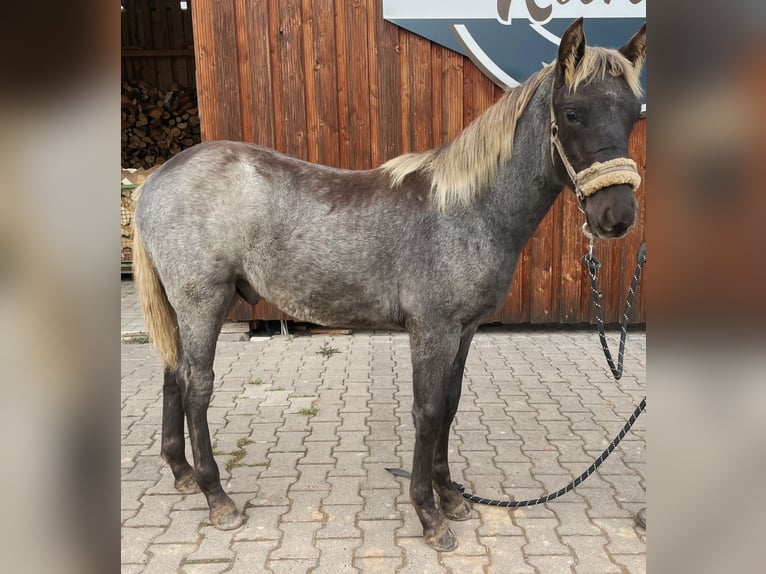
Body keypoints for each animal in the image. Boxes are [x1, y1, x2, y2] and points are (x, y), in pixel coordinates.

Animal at [132, 18, 646, 551]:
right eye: (572, 113)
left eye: (633, 115)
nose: (617, 216)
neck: (465, 210)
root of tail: (158, 177)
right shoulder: (431, 331)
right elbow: (427, 412)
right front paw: (430, 515)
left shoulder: (463, 331)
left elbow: (449, 407)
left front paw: (452, 497)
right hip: (203, 302)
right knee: (196, 386)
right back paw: (217, 497)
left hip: (183, 308)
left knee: (173, 374)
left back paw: (182, 473)